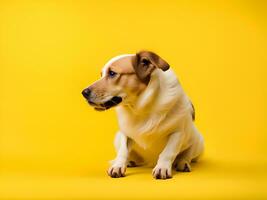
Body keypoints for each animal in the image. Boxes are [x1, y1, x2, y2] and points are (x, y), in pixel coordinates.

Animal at [82, 50, 204, 179]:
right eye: (101, 75)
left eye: (112, 73)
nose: (84, 92)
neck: (141, 107)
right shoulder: (125, 133)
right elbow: (123, 151)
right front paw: (118, 166)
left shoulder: (177, 132)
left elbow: (168, 152)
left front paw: (162, 168)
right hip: (117, 138)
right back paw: (130, 161)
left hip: (197, 140)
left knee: (188, 154)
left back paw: (182, 162)